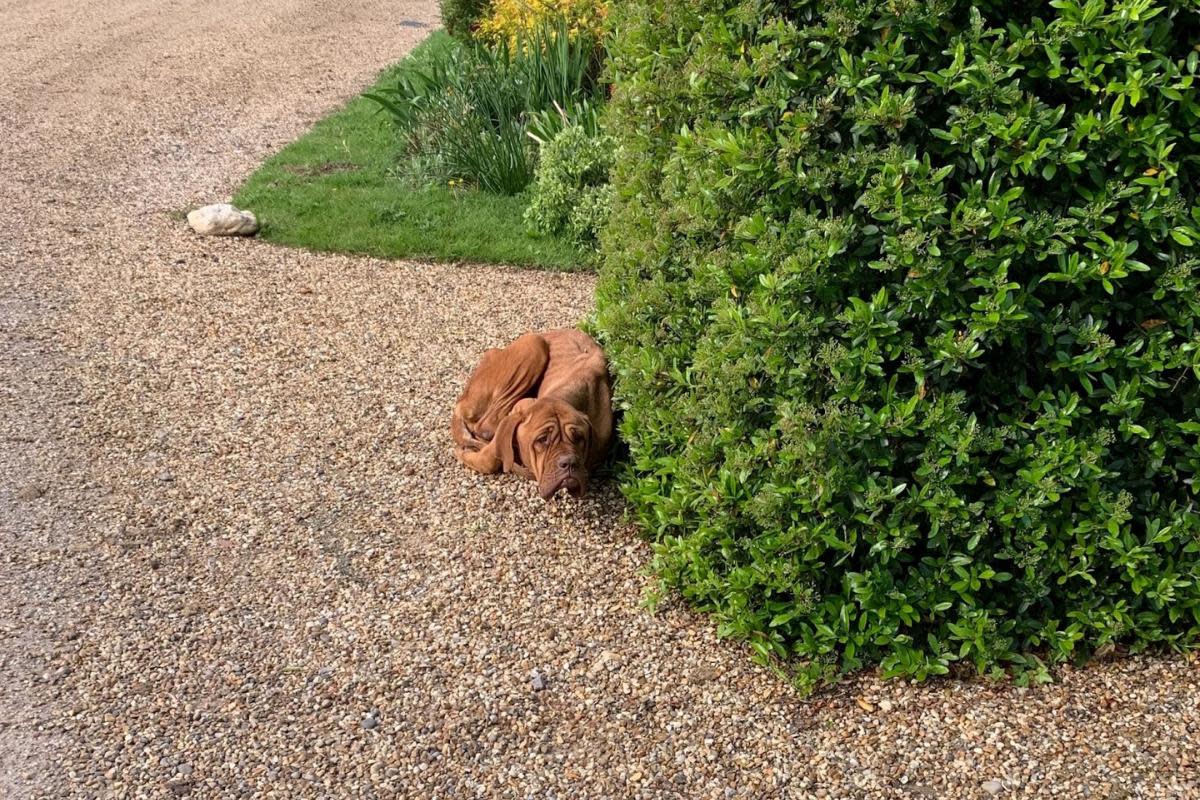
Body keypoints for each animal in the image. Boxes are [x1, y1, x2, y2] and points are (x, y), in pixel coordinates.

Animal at [453, 328, 614, 496]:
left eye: (579, 438)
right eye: (542, 439)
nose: (569, 462)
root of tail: (461, 402)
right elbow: (489, 459)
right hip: (534, 343)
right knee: (486, 427)